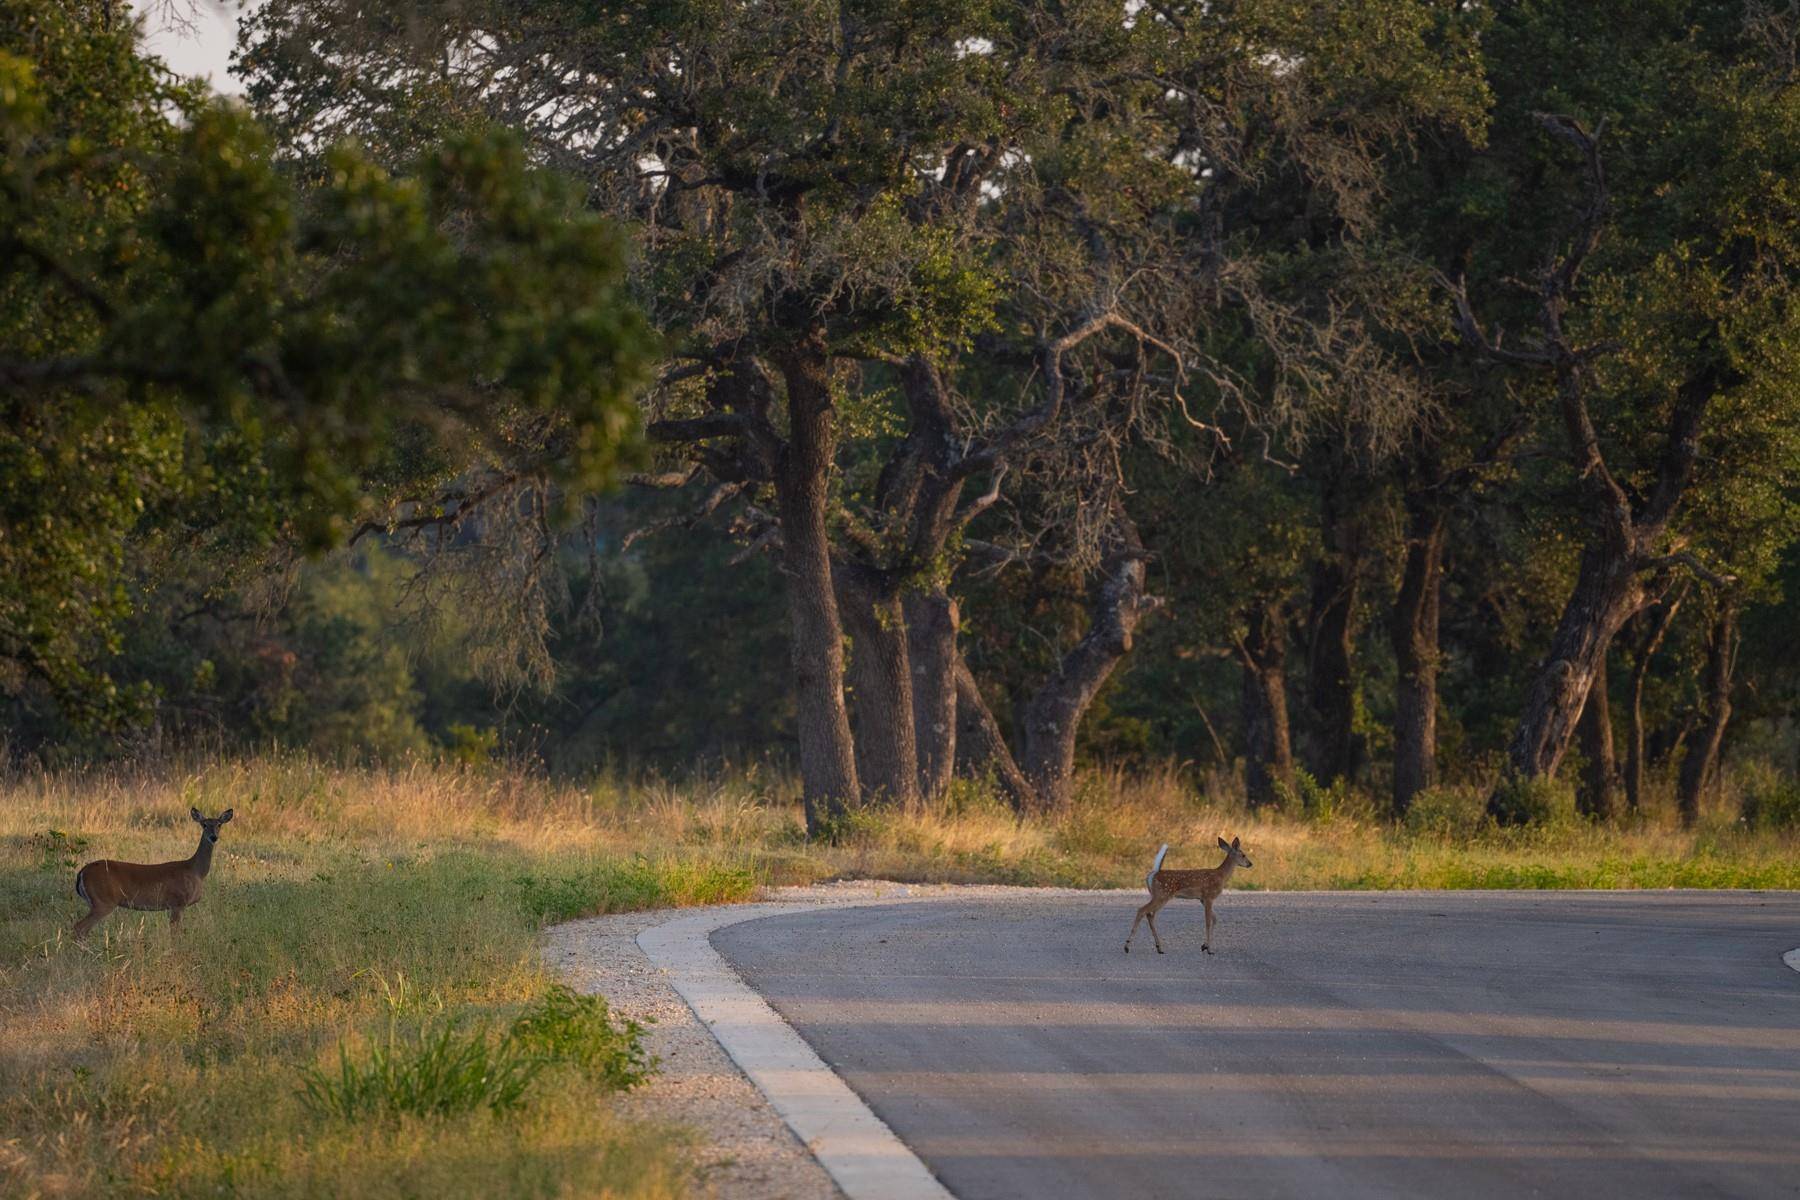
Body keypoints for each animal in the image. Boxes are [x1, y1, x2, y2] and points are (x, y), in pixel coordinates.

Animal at [72, 805, 232, 935]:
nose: (213, 837)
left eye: (219, 824)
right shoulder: (177, 902)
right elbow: (175, 934)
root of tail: (82, 872)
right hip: (103, 901)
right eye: (204, 825)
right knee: (79, 927)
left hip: (94, 902)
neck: (196, 871)